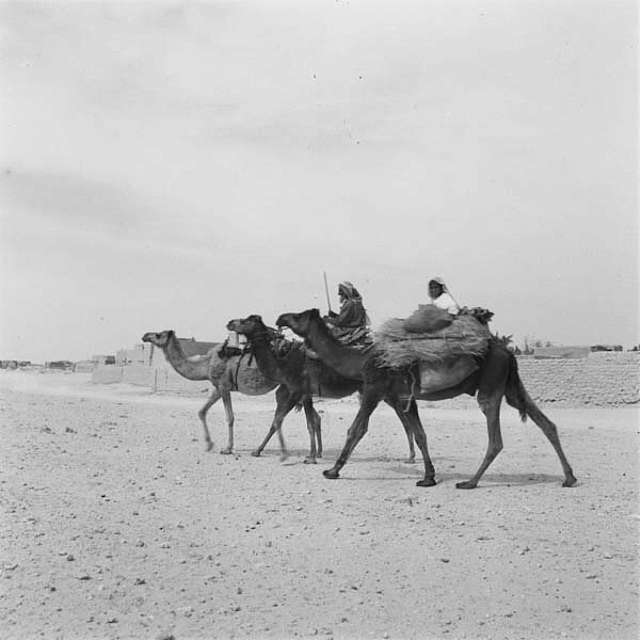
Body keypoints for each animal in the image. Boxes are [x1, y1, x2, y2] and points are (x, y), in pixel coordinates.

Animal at [142, 330, 290, 456]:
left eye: (158, 334)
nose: (145, 336)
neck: (206, 364)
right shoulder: (218, 387)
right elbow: (202, 411)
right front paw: (209, 444)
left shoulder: (224, 386)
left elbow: (230, 417)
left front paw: (227, 448)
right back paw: (260, 450)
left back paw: (259, 450)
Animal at [228, 312, 418, 462]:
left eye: (246, 320)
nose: (230, 322)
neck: (284, 365)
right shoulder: (306, 394)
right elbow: (308, 423)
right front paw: (311, 455)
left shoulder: (297, 391)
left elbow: (283, 421)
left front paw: (261, 451)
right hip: (374, 391)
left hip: (383, 391)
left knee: (404, 419)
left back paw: (410, 457)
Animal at [278, 310, 576, 490]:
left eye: (299, 315)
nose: (281, 317)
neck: (359, 359)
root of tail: (508, 352)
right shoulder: (402, 396)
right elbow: (420, 434)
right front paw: (428, 477)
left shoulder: (375, 387)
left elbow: (357, 429)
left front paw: (332, 470)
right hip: (510, 386)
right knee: (545, 422)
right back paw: (569, 477)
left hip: (491, 386)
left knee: (496, 438)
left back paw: (470, 482)